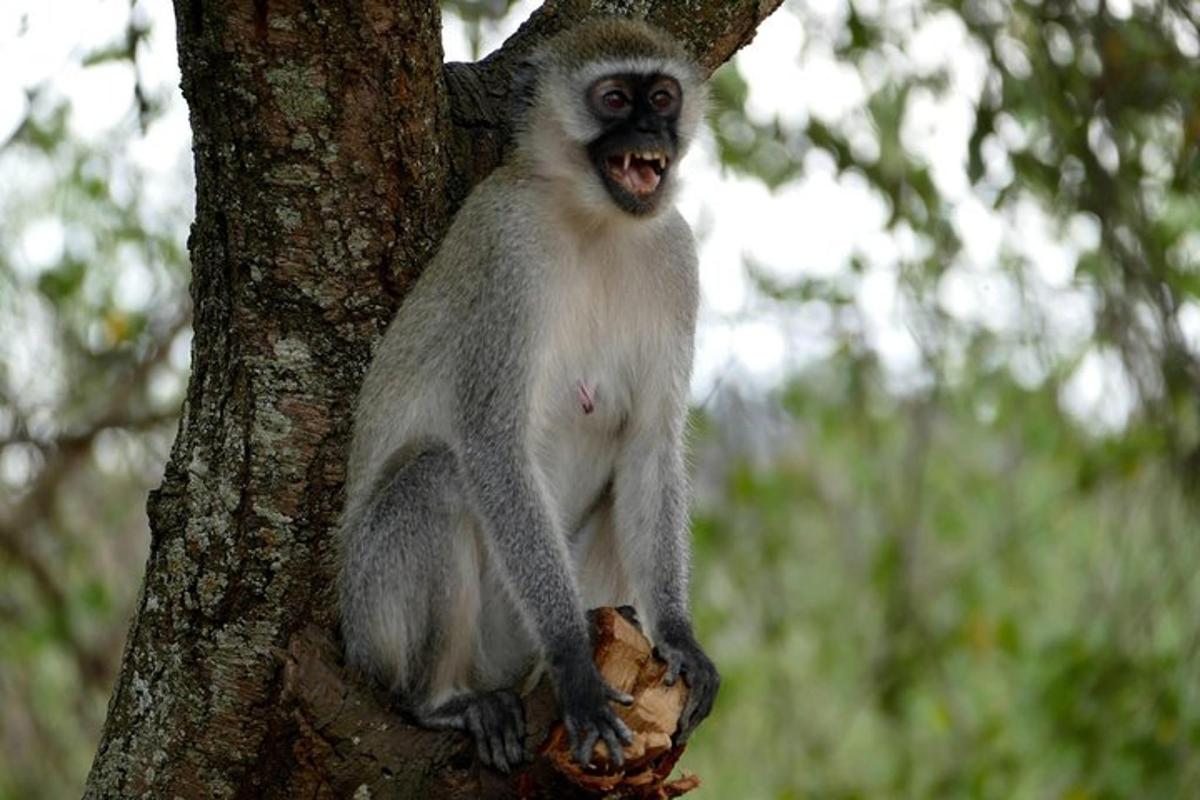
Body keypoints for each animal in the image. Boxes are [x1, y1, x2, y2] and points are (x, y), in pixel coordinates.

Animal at [338, 17, 715, 767]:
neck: (595, 220)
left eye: (661, 97)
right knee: (436, 477)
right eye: (613, 98)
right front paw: (574, 662)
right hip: (375, 619)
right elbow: (493, 444)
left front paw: (680, 636)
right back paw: (443, 702)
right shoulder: (505, 246)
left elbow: (649, 448)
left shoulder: (676, 258)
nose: (648, 134)